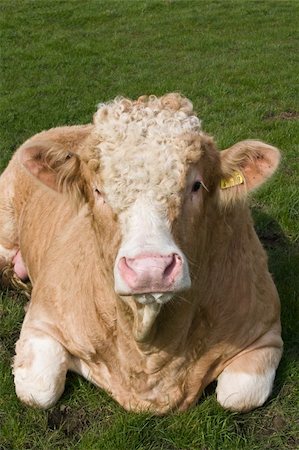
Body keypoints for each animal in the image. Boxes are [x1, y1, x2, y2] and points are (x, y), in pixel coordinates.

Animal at [0, 93, 284, 414]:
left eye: (197, 185)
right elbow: (39, 390)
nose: (150, 269)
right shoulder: (41, 319)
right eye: (97, 191)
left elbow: (239, 395)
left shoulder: (266, 331)